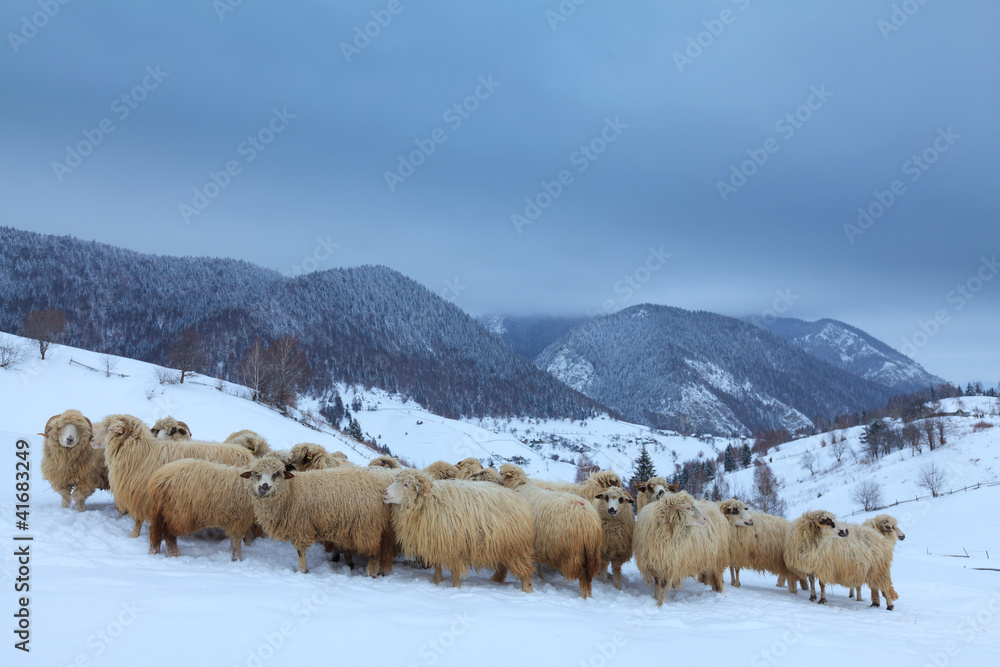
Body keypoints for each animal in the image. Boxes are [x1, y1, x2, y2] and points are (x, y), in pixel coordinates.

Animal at [91, 414, 254, 538]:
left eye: (109, 429)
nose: (91, 440)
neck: (142, 451)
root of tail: (248, 455)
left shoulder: (141, 495)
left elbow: (138, 521)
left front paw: (133, 536)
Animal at [240, 457, 394, 576]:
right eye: (256, 473)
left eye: (277, 474)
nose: (264, 487)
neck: (291, 491)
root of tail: (380, 485)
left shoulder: (301, 527)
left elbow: (300, 552)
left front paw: (303, 570)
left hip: (368, 528)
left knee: (374, 554)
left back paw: (371, 574)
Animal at [382, 470, 535, 592]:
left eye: (406, 484)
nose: (384, 492)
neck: (428, 502)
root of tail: (521, 501)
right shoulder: (436, 542)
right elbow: (437, 567)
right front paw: (437, 582)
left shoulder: (454, 545)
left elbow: (455, 571)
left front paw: (456, 588)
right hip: (502, 546)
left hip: (517, 547)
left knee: (526, 571)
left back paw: (526, 590)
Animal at [499, 464, 602, 599]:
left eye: (500, 473)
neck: (519, 486)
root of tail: (589, 519)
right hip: (591, 555)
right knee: (589, 578)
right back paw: (589, 596)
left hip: (574, 554)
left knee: (583, 578)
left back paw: (584, 597)